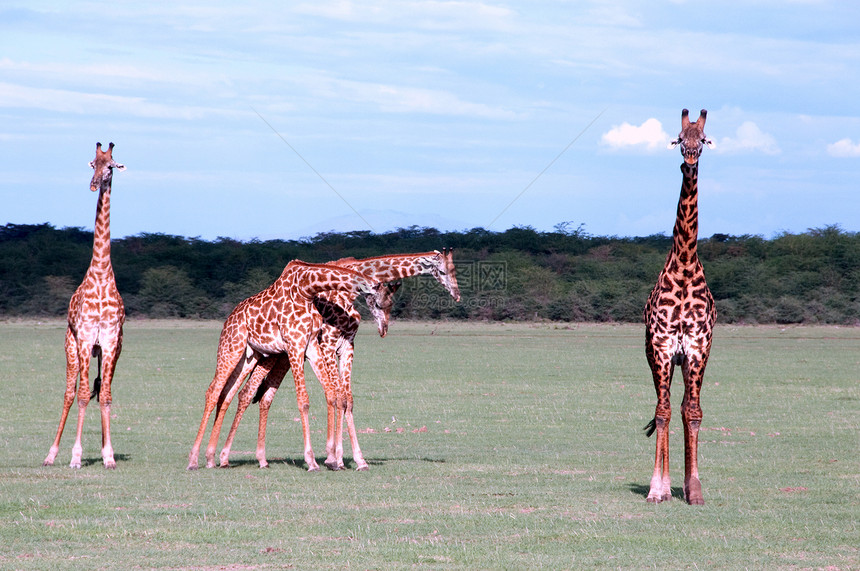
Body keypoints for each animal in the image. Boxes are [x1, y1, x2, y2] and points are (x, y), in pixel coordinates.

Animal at [44, 142, 127, 470]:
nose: (94, 184)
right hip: (71, 346)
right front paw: (76, 456)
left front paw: (109, 455)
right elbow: (80, 396)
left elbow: (104, 396)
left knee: (99, 388)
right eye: (93, 163)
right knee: (69, 393)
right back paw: (51, 454)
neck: (102, 272)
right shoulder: (85, 337)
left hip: (102, 351)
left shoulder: (110, 340)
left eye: (110, 167)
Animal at [190, 262, 392, 472]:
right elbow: (303, 401)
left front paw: (333, 459)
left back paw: (214, 459)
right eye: (380, 303)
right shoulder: (296, 344)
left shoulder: (311, 345)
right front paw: (312, 461)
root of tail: (228, 319)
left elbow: (332, 394)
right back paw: (194, 460)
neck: (306, 290)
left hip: (248, 356)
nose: (384, 329)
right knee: (213, 392)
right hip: (231, 349)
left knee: (228, 394)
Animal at [218, 249, 460, 470]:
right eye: (443, 270)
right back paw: (224, 456)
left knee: (260, 395)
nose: (457, 294)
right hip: (273, 355)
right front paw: (335, 458)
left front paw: (355, 459)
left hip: (281, 358)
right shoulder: (328, 344)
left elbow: (346, 400)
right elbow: (337, 397)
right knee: (243, 392)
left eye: (454, 269)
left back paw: (253, 458)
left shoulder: (346, 345)